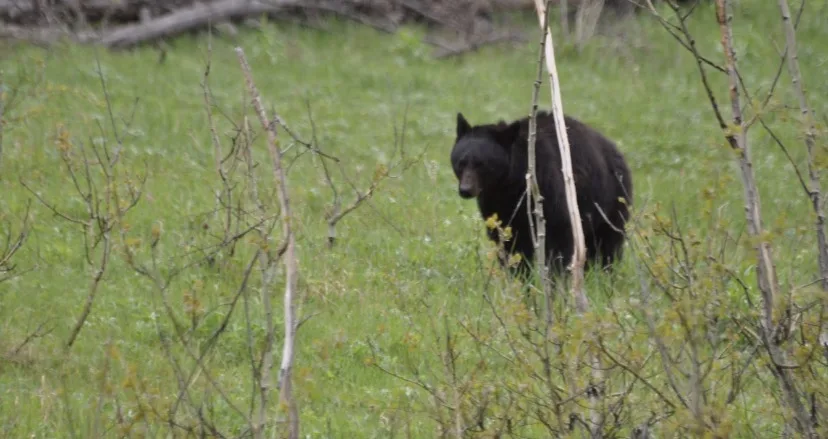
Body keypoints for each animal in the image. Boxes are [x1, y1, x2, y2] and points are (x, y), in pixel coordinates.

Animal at [450, 110, 633, 280]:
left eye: (483, 164)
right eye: (461, 163)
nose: (465, 190)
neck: (511, 185)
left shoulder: (548, 185)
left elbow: (560, 238)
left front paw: (557, 282)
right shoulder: (496, 205)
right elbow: (507, 244)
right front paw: (519, 280)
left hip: (611, 200)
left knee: (608, 245)